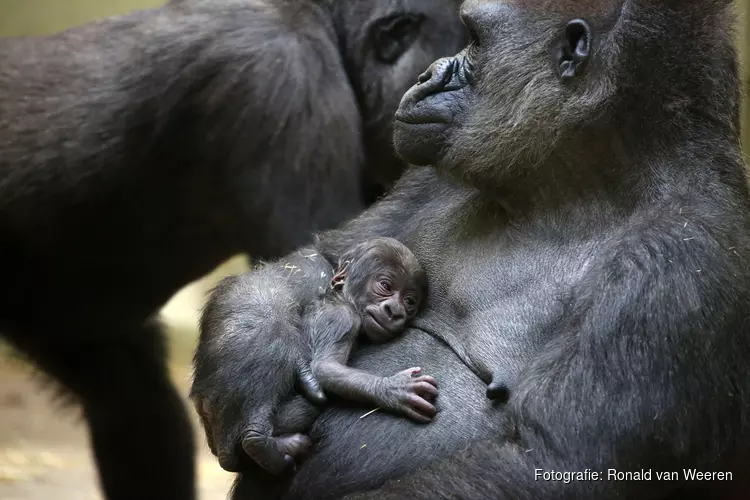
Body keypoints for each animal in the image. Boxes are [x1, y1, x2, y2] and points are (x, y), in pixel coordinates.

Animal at [244, 237, 438, 472]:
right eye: (385, 286)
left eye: (409, 301)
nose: (395, 311)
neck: (340, 297)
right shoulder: (342, 318)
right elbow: (325, 368)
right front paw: (392, 390)